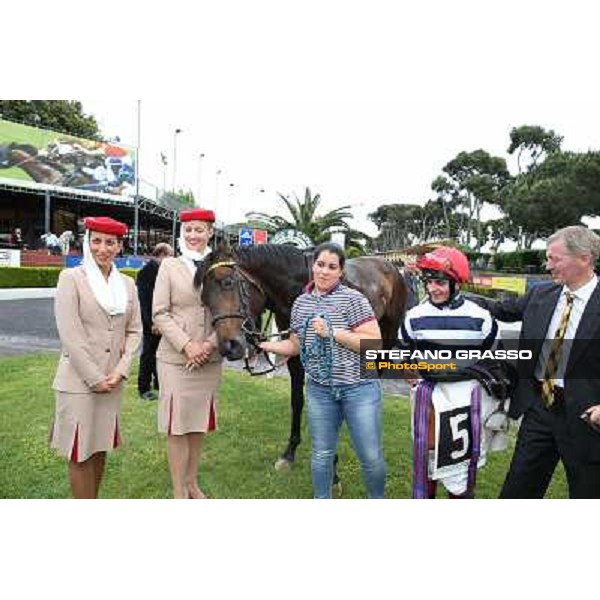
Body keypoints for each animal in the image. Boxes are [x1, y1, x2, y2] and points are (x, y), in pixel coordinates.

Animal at [195, 244, 410, 478]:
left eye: (227, 283)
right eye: (204, 300)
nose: (229, 347)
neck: (296, 287)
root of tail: (390, 266)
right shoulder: (295, 353)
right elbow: (297, 400)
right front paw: (289, 452)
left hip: (386, 336)